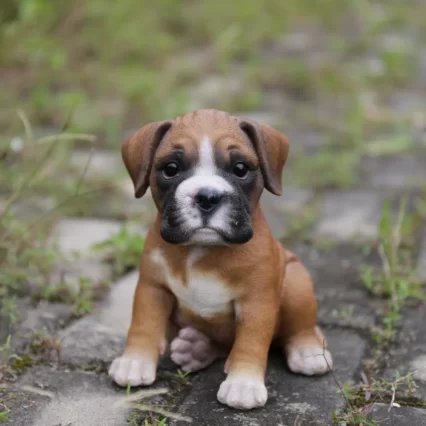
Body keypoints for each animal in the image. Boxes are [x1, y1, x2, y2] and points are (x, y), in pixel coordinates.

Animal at [109, 109, 332, 410]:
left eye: (240, 169)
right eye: (171, 169)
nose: (207, 196)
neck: (202, 249)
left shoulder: (257, 303)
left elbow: (251, 341)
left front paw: (243, 383)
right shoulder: (152, 288)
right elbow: (143, 324)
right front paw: (134, 361)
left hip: (297, 280)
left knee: (299, 328)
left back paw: (308, 351)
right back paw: (197, 349)